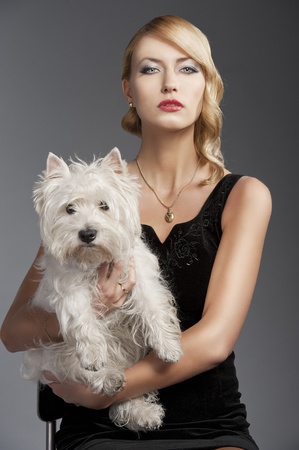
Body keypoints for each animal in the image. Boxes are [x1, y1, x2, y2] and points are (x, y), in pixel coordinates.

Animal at [21, 149, 183, 432]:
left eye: (104, 205)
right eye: (69, 209)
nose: (87, 233)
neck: (95, 261)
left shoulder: (140, 275)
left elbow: (153, 306)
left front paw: (168, 345)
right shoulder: (69, 288)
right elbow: (83, 320)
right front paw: (93, 355)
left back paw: (144, 413)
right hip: (52, 356)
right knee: (82, 374)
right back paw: (109, 378)